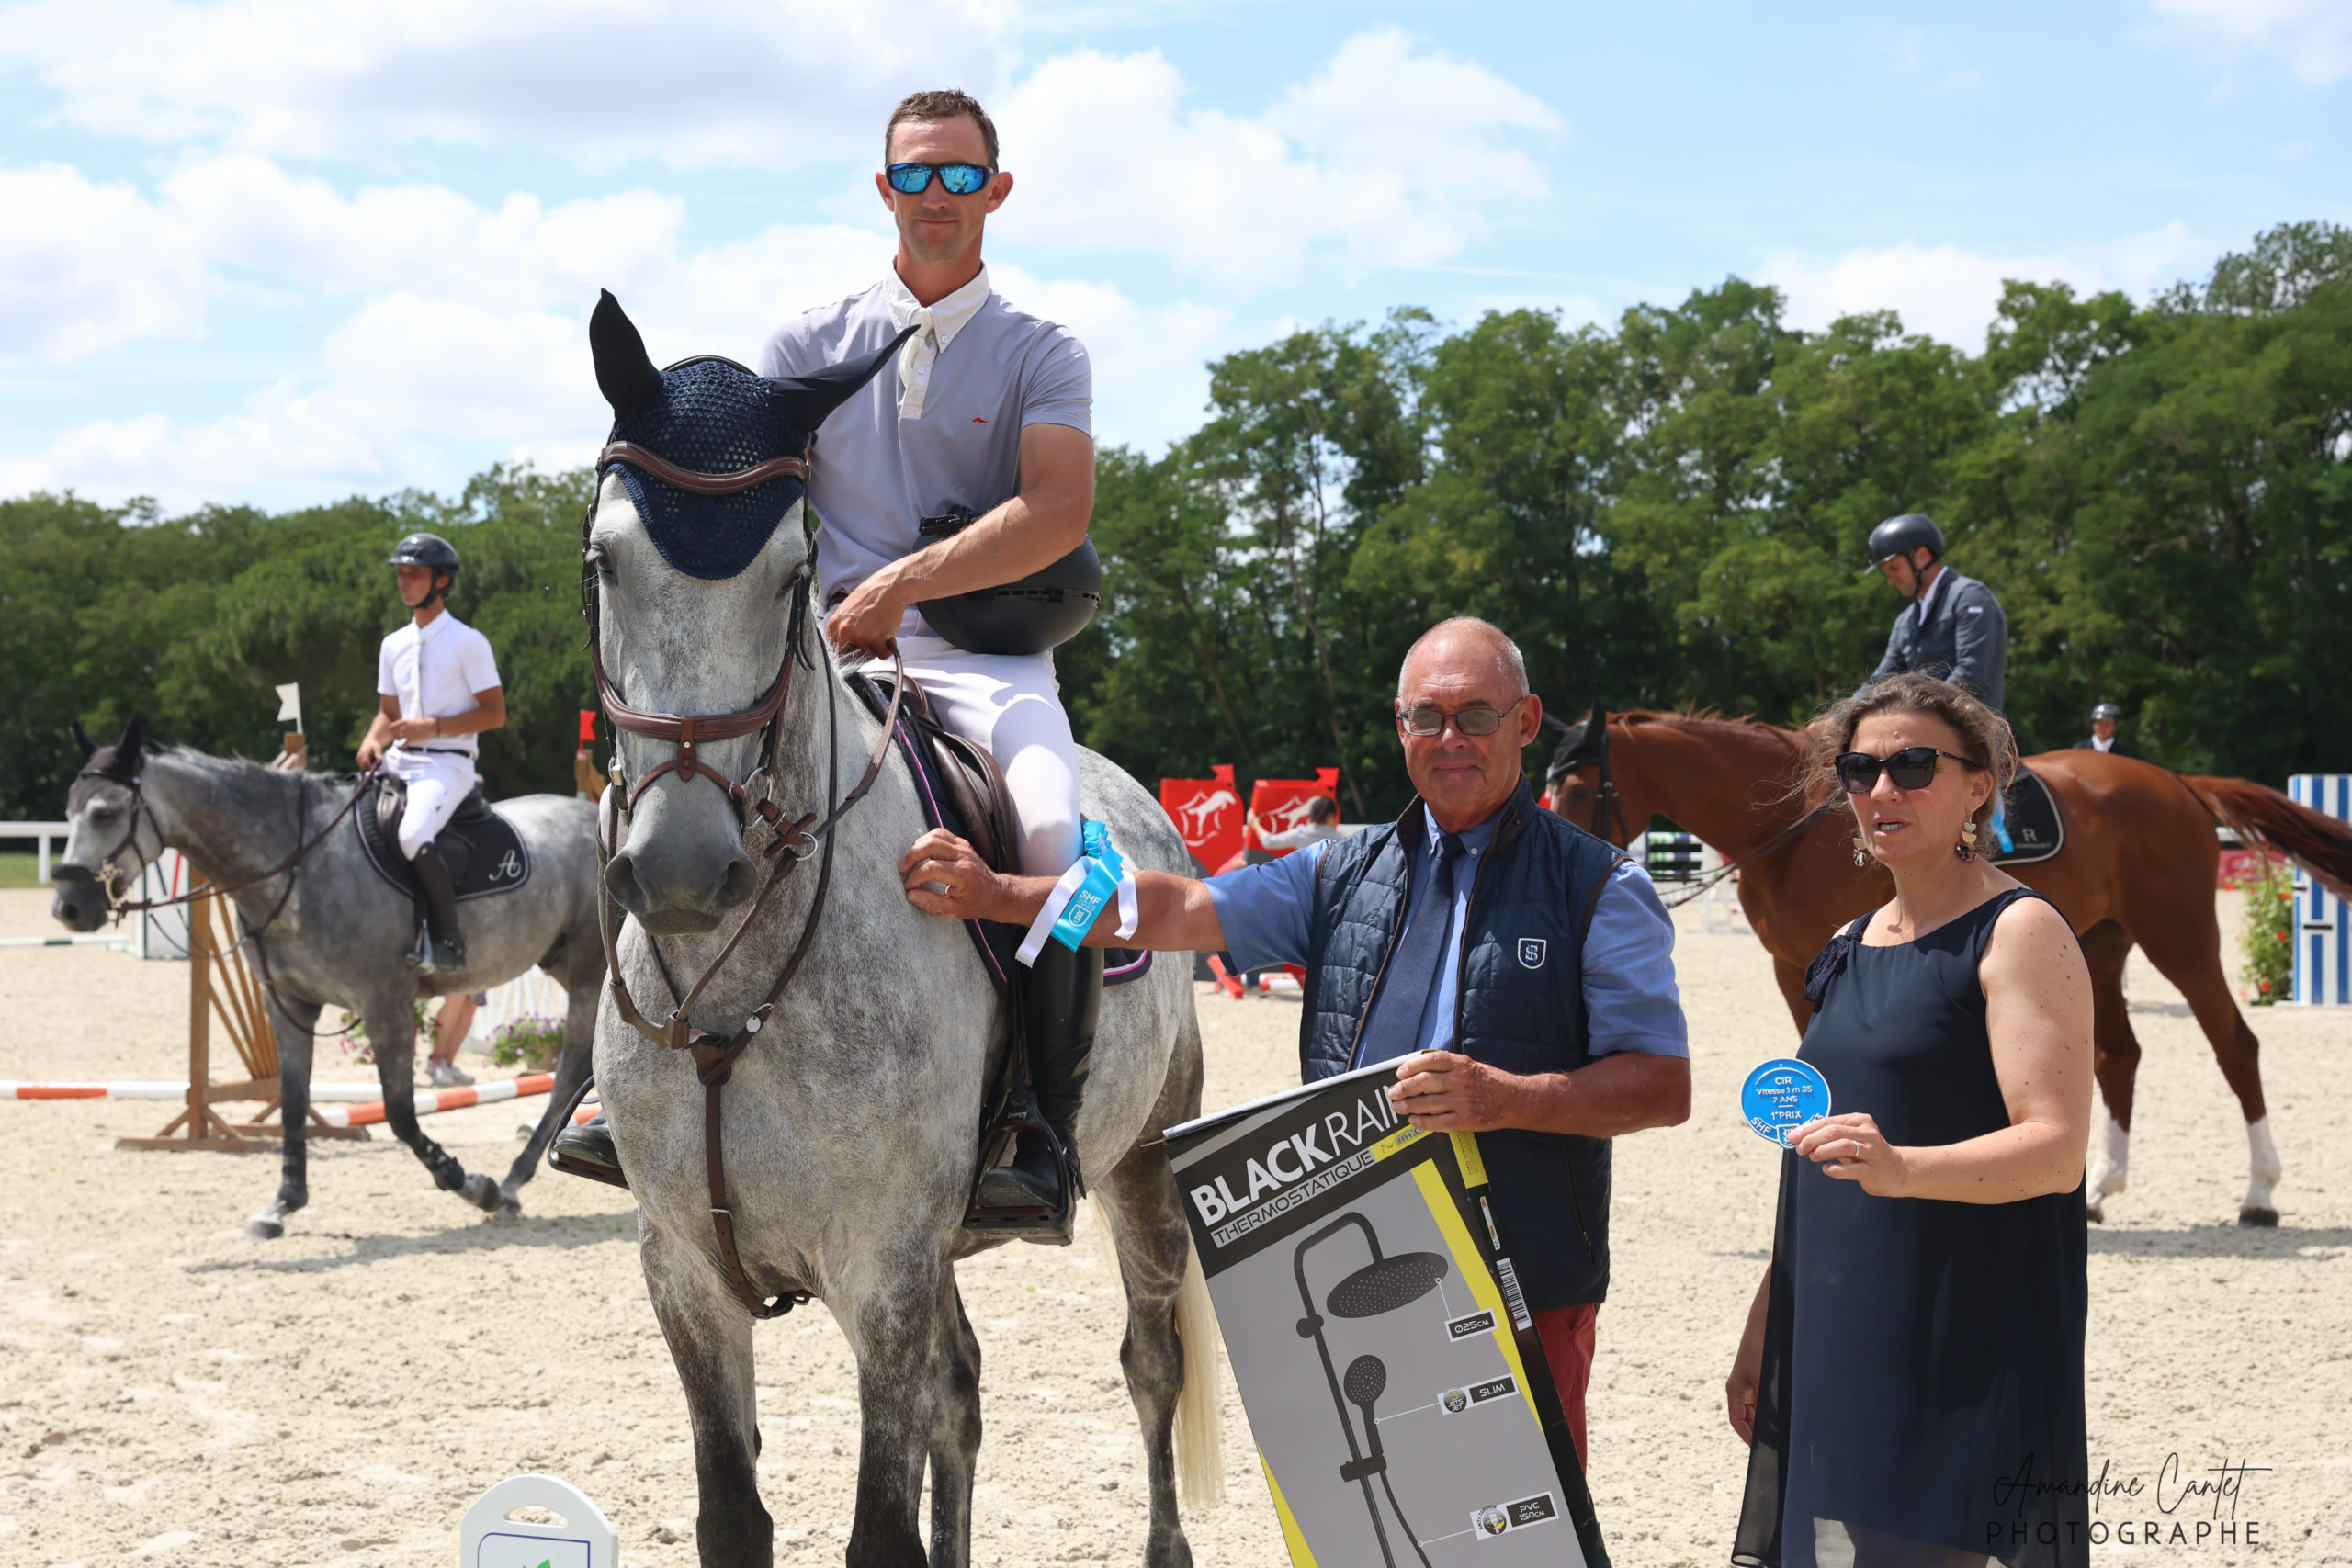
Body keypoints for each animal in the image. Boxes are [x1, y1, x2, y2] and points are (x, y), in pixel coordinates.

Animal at [51, 719, 606, 1241]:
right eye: (68, 812)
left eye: (104, 813)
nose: (68, 909)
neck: (299, 866)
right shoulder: (289, 1004)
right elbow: (293, 1102)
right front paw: (282, 1204)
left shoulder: (385, 1003)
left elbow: (400, 1113)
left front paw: (472, 1185)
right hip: (560, 964)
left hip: (588, 975)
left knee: (567, 1075)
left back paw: (512, 1181)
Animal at [581, 297, 1223, 1568]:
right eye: (605, 560)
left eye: (795, 572)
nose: (681, 871)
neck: (735, 988)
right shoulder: (683, 1271)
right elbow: (734, 1517)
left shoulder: (881, 1265)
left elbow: (881, 1528)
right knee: (962, 1395)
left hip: (1140, 1162)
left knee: (1149, 1366)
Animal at [1543, 705, 2352, 1232]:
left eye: (1580, 788)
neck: (1789, 831)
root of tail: (2175, 781)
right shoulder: (1792, 967)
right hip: (2096, 947)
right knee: (2117, 1054)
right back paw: (2100, 1189)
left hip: (2179, 937)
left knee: (2233, 1044)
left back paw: (2259, 1194)